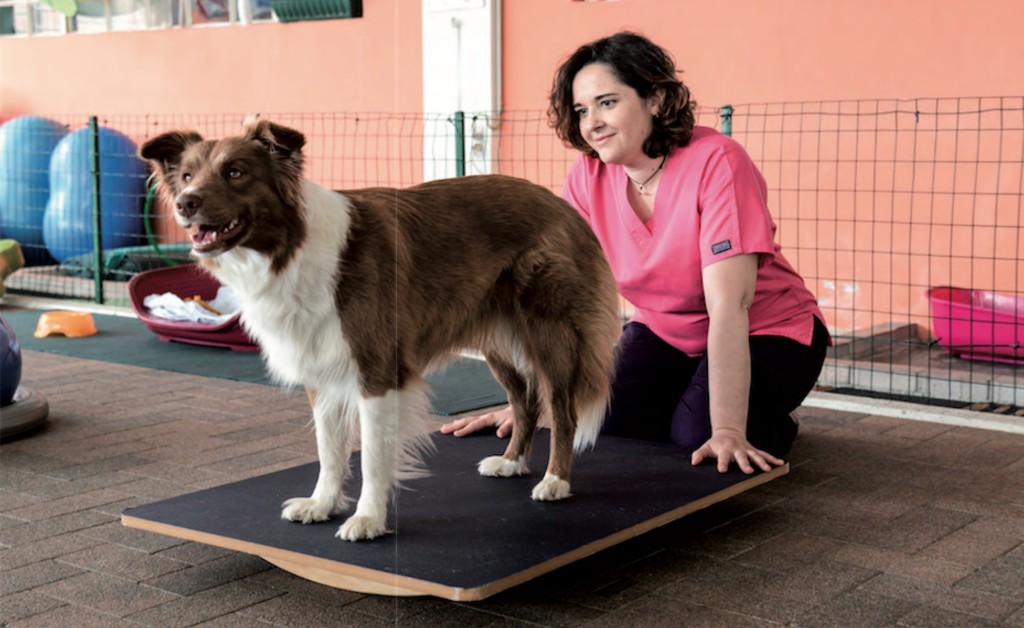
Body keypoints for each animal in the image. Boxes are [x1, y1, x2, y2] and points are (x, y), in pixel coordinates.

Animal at [136, 117, 614, 536]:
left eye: (236, 172)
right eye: (186, 175)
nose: (185, 203)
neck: (290, 247)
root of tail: (563, 206)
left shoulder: (378, 371)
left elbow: (371, 457)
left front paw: (367, 520)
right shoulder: (322, 371)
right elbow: (329, 450)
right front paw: (322, 504)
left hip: (549, 332)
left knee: (562, 409)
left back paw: (555, 481)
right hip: (499, 341)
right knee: (524, 401)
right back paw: (512, 462)